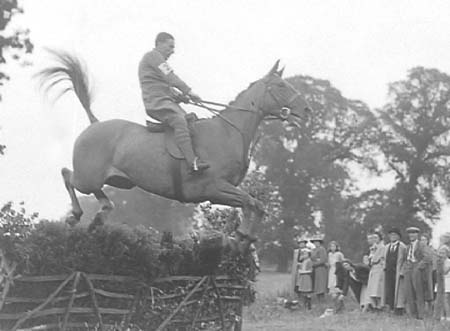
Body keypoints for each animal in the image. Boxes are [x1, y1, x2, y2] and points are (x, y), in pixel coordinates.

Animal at [37, 51, 310, 254]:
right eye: (280, 86)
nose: (306, 110)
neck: (228, 131)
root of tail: (94, 123)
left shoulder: (221, 193)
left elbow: (256, 205)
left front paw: (244, 239)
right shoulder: (214, 188)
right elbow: (251, 202)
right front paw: (242, 237)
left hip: (117, 181)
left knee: (97, 194)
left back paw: (100, 215)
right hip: (87, 177)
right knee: (67, 175)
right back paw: (76, 216)